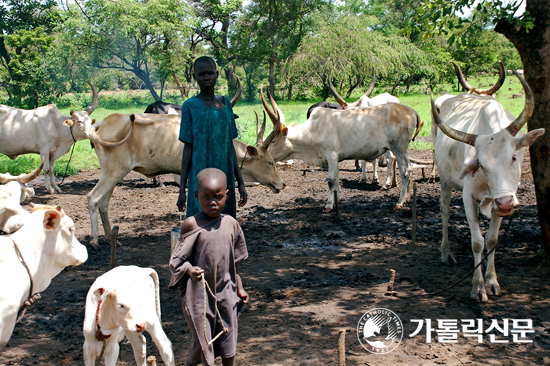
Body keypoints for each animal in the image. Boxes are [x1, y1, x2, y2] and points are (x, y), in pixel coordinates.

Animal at [432, 62, 544, 304]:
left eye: (513, 157)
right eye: (481, 164)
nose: (505, 202)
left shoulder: (500, 199)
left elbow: (491, 240)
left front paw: (492, 281)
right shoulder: (468, 196)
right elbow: (477, 242)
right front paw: (477, 286)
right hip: (445, 180)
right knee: (445, 211)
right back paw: (446, 253)